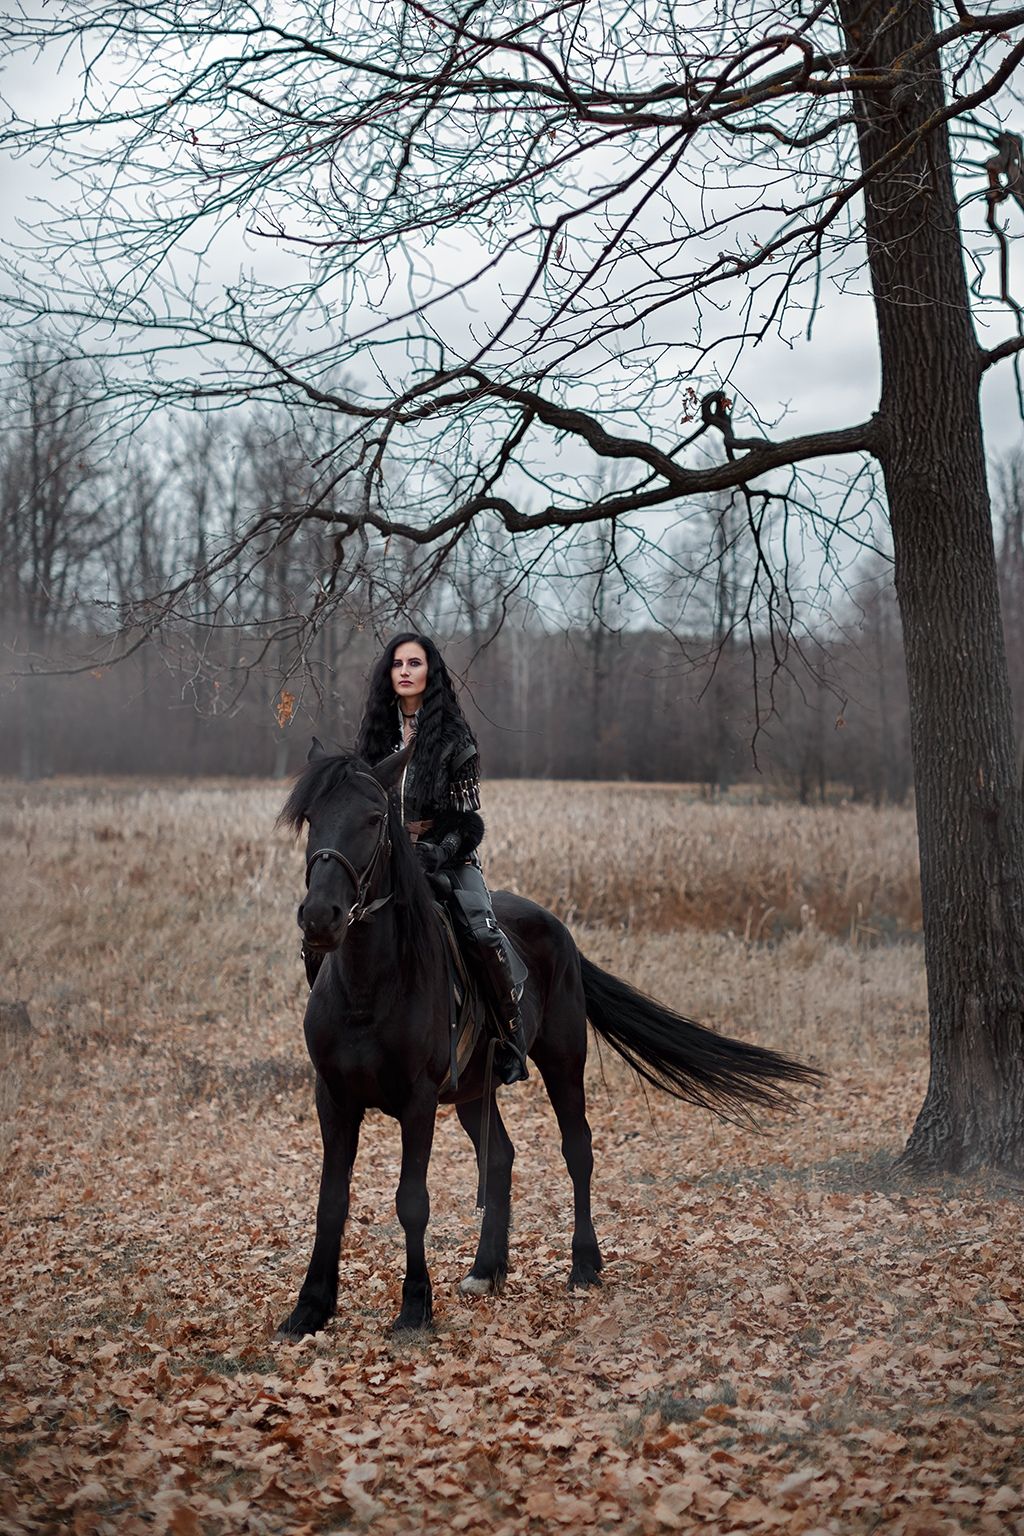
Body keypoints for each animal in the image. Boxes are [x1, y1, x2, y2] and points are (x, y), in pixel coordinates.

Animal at [274, 743, 816, 1333]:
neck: (369, 988)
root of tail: (559, 928)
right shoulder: (334, 1098)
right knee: (500, 1159)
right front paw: (310, 1308)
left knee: (578, 1150)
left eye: (374, 819)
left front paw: (415, 1306)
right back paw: (486, 1270)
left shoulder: (418, 1102)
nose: (320, 918)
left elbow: (411, 1200)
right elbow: (331, 1200)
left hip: (562, 1060)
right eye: (311, 818)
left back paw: (584, 1266)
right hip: (473, 1090)